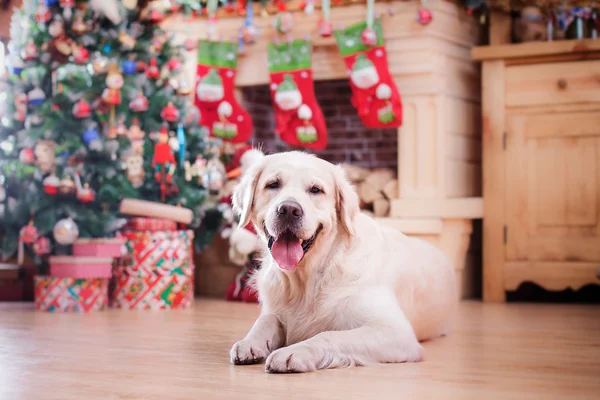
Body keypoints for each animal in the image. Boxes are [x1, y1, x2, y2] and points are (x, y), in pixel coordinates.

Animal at [230, 150, 454, 372]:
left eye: (316, 190)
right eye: (273, 184)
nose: (289, 210)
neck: (311, 277)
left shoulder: (395, 330)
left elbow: (327, 335)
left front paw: (293, 352)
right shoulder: (275, 310)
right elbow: (265, 320)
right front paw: (249, 343)